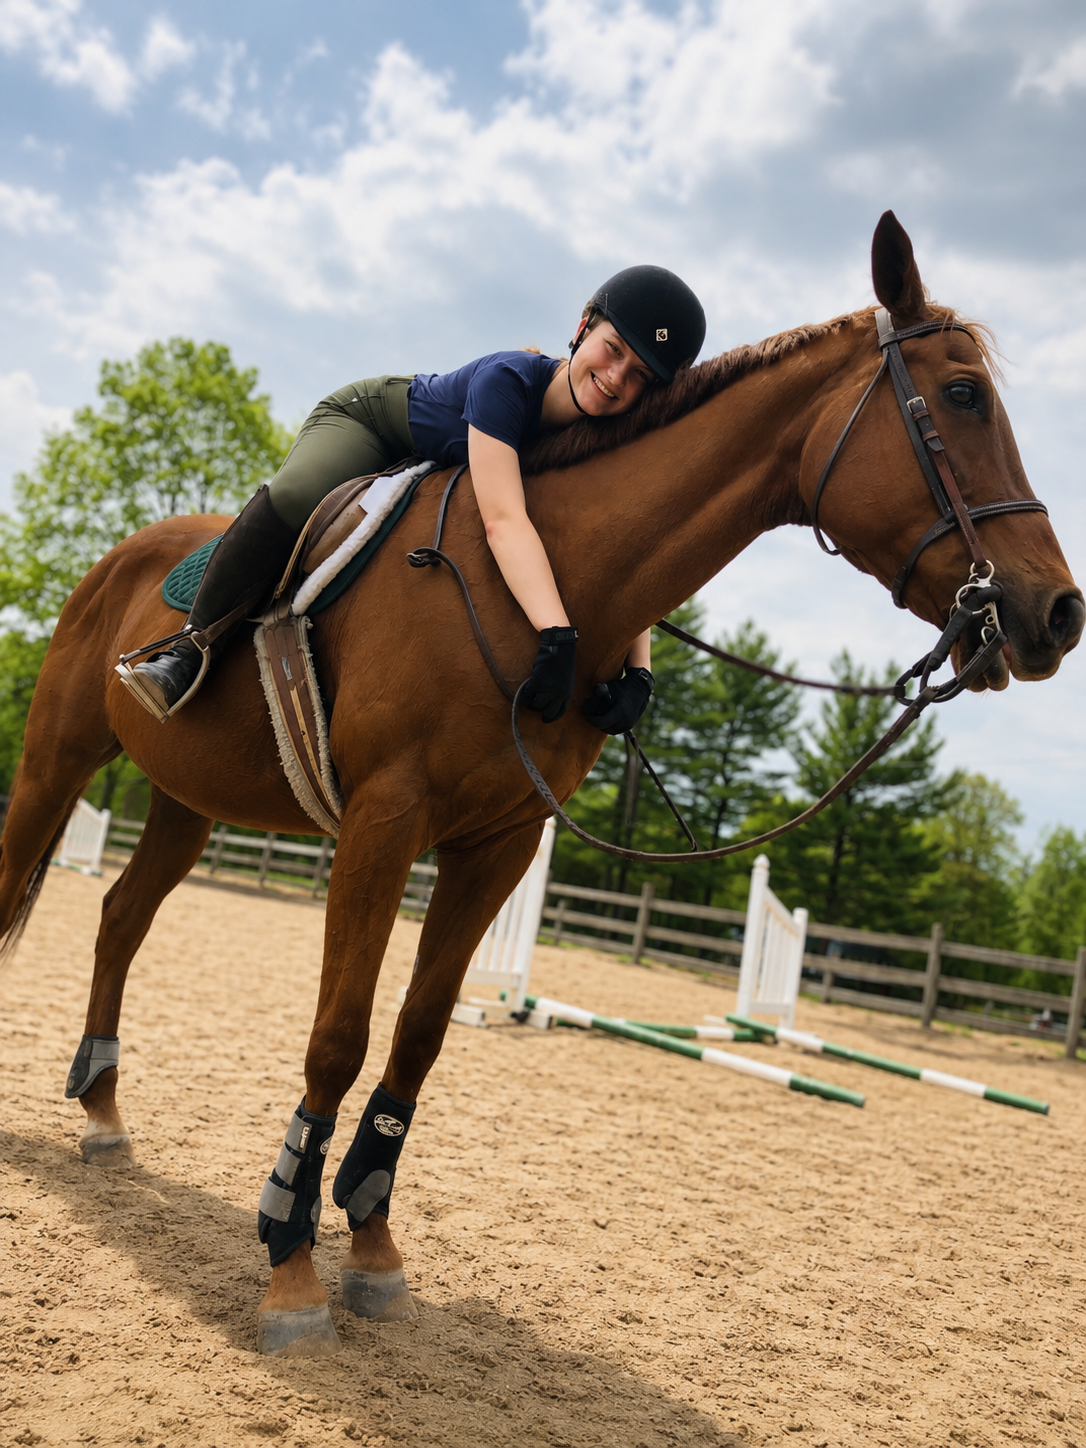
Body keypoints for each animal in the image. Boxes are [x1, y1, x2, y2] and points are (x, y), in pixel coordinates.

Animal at [1, 212, 1080, 1356]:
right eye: (962, 395)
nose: (1058, 613)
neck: (542, 586)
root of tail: (123, 554)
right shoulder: (385, 824)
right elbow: (339, 1036)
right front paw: (290, 1262)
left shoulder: (499, 843)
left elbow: (420, 1035)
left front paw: (373, 1245)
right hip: (56, 761)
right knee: (23, 878)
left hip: (186, 801)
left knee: (121, 915)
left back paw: (104, 1114)